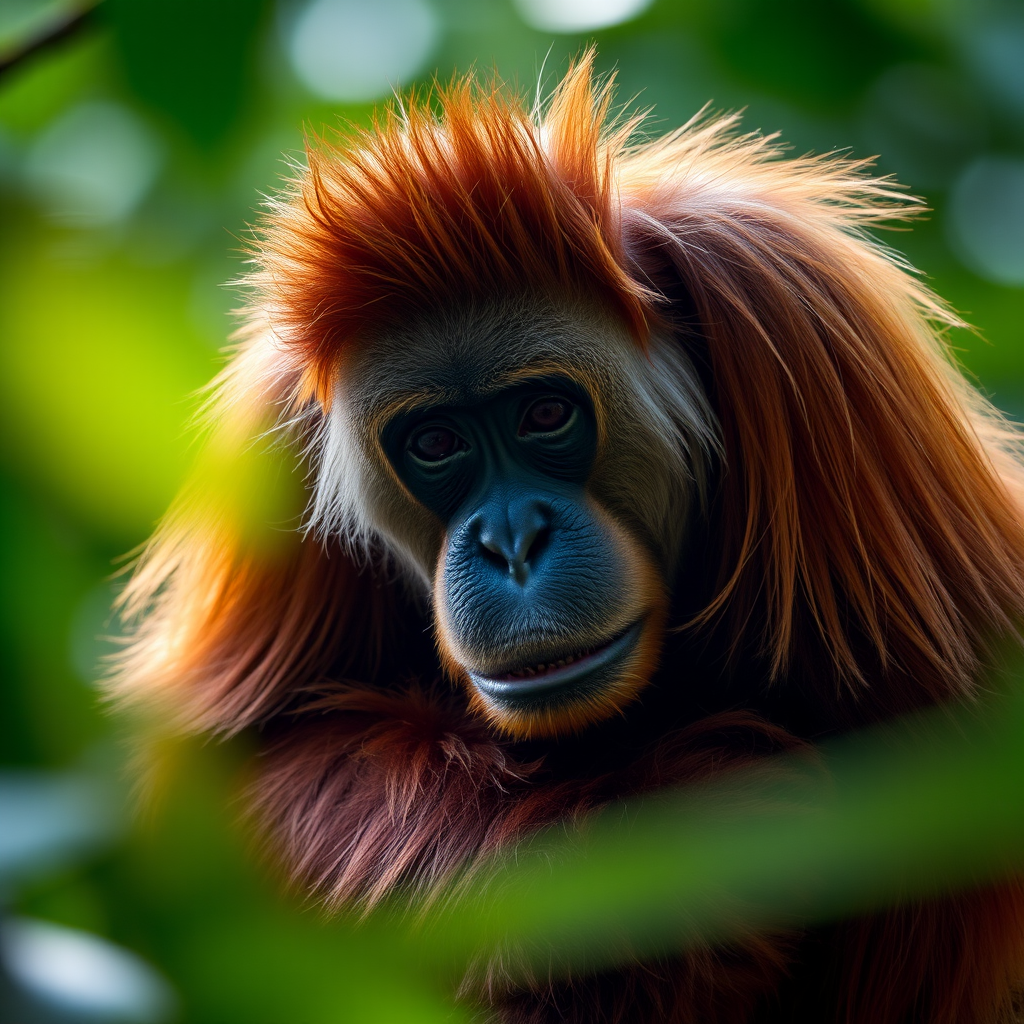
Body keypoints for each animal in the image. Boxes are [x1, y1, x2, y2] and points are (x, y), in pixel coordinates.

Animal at [111, 53, 1024, 1024]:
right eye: (436, 444)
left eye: (545, 415)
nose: (512, 542)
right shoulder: (274, 431)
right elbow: (232, 779)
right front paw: (689, 843)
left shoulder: (805, 321)